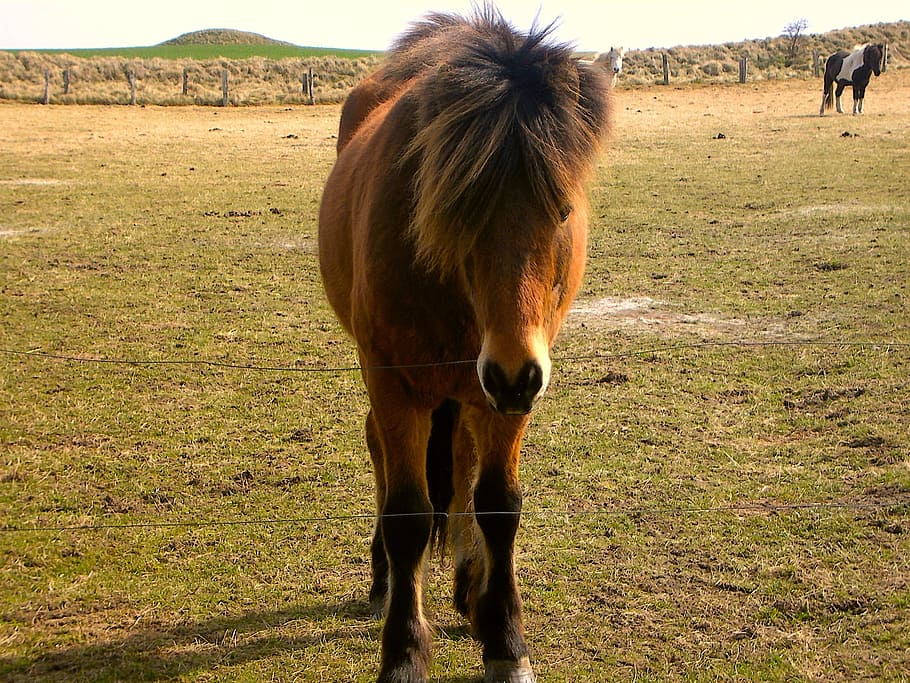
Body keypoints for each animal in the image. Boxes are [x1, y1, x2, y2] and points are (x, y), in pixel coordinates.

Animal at [318, 7, 611, 683]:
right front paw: (403, 654)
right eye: (459, 207)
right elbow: (407, 515)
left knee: (462, 465)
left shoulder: (506, 395)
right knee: (382, 451)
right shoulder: (396, 382)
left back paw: (467, 588)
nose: (513, 374)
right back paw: (385, 582)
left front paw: (505, 640)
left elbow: (497, 505)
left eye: (562, 209)